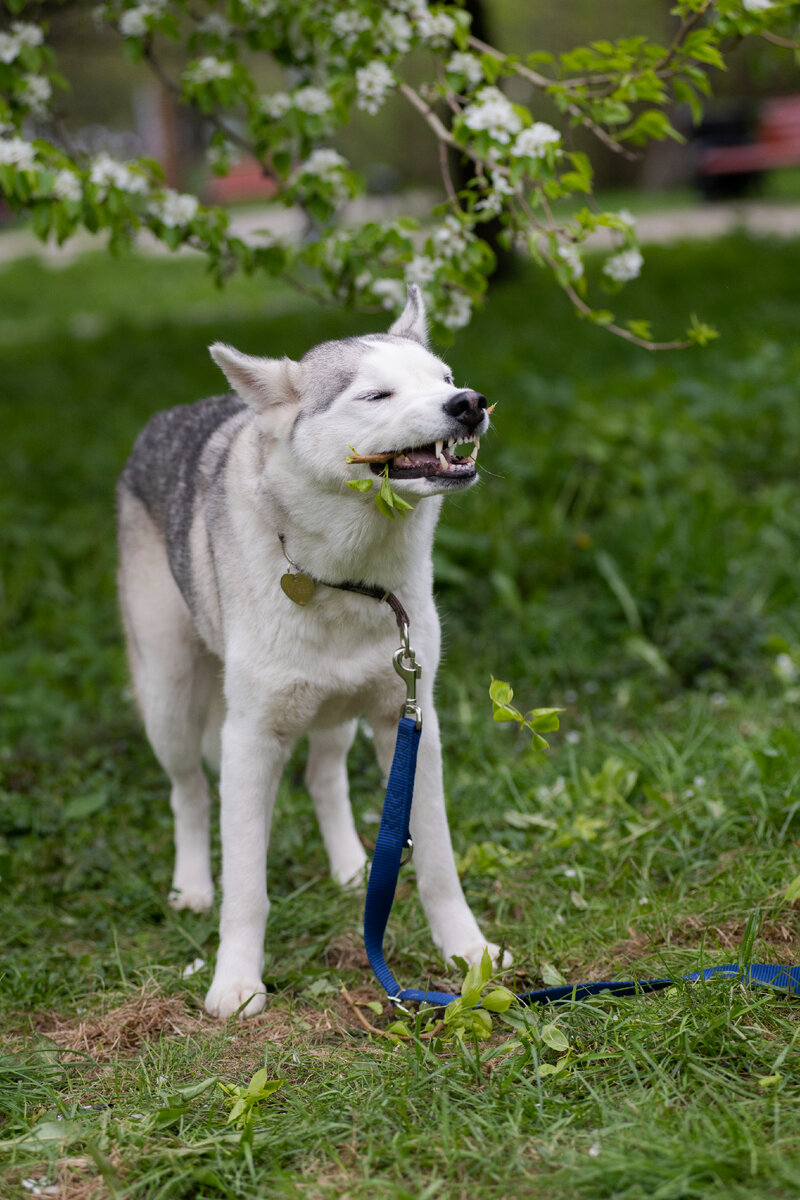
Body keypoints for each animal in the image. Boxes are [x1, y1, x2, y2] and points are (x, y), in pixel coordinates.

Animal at [115, 285, 510, 1017]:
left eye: (443, 378)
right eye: (377, 395)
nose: (469, 402)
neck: (348, 578)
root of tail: (170, 416)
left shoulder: (410, 721)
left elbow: (437, 863)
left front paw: (467, 954)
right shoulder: (249, 738)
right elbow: (246, 887)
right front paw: (236, 983)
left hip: (340, 714)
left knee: (323, 777)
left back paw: (354, 867)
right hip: (170, 700)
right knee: (190, 796)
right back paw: (192, 886)